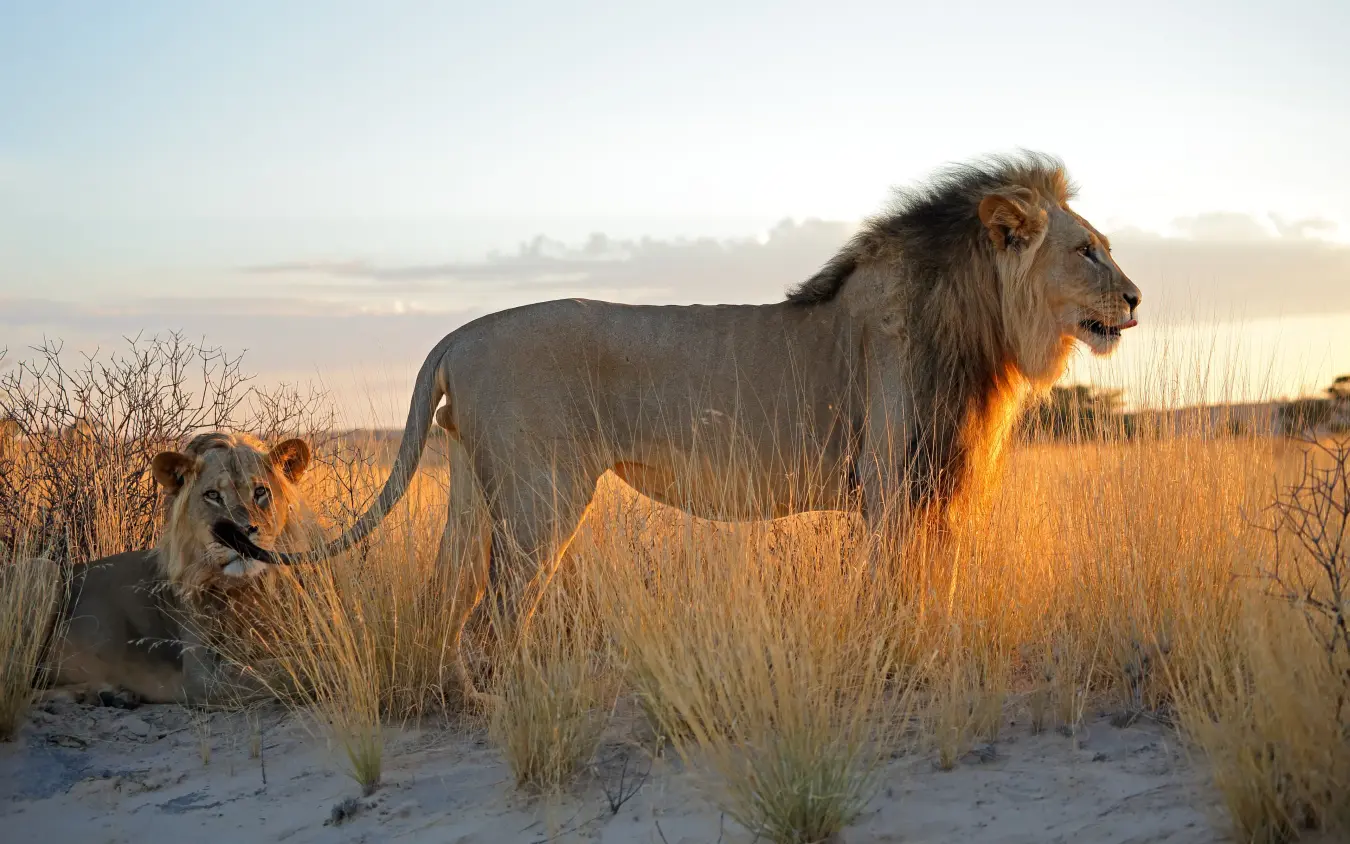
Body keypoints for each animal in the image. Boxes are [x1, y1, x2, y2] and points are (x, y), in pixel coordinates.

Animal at [35, 431, 315, 707]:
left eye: (260, 492)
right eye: (213, 495)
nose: (240, 533)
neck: (245, 588)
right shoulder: (202, 677)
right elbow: (287, 670)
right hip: (47, 569)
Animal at [215, 152, 1142, 705]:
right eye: (1087, 250)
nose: (1136, 297)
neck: (983, 325)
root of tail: (460, 332)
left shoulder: (930, 485)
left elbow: (937, 588)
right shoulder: (891, 483)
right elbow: (897, 592)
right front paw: (902, 668)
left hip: (476, 493)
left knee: (445, 601)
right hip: (542, 497)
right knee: (495, 613)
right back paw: (509, 709)